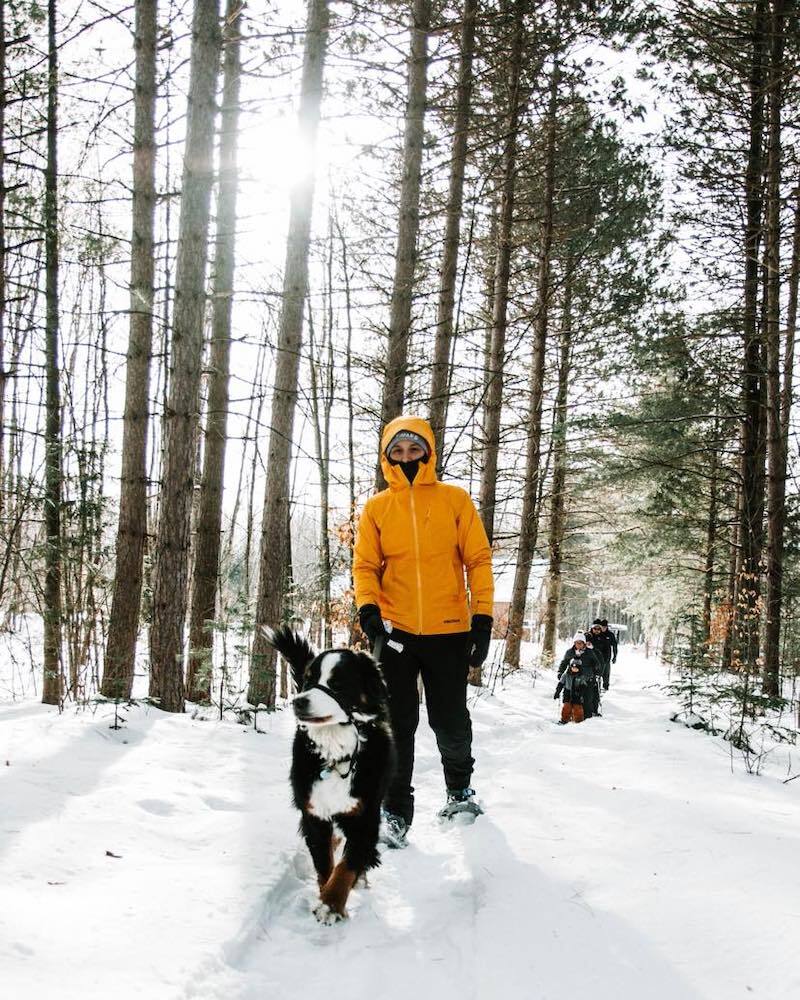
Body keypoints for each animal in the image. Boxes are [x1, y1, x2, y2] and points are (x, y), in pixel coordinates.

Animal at [268, 628, 396, 924]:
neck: (337, 754)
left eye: (337, 684)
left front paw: (332, 904)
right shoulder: (315, 814)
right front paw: (327, 897)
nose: (299, 702)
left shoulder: (365, 816)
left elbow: (347, 866)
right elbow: (325, 864)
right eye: (308, 680)